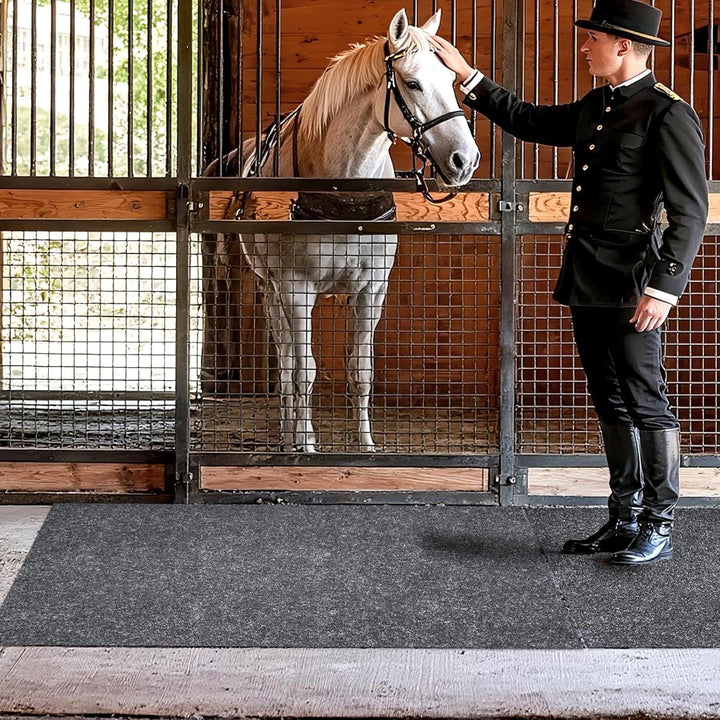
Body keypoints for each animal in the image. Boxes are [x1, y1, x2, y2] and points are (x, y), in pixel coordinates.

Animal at [206, 8, 480, 452]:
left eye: (451, 80)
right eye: (413, 83)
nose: (464, 160)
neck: (345, 190)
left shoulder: (372, 290)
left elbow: (362, 370)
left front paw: (366, 447)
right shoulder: (295, 289)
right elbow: (304, 371)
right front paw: (306, 444)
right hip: (271, 289)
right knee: (286, 362)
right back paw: (288, 436)